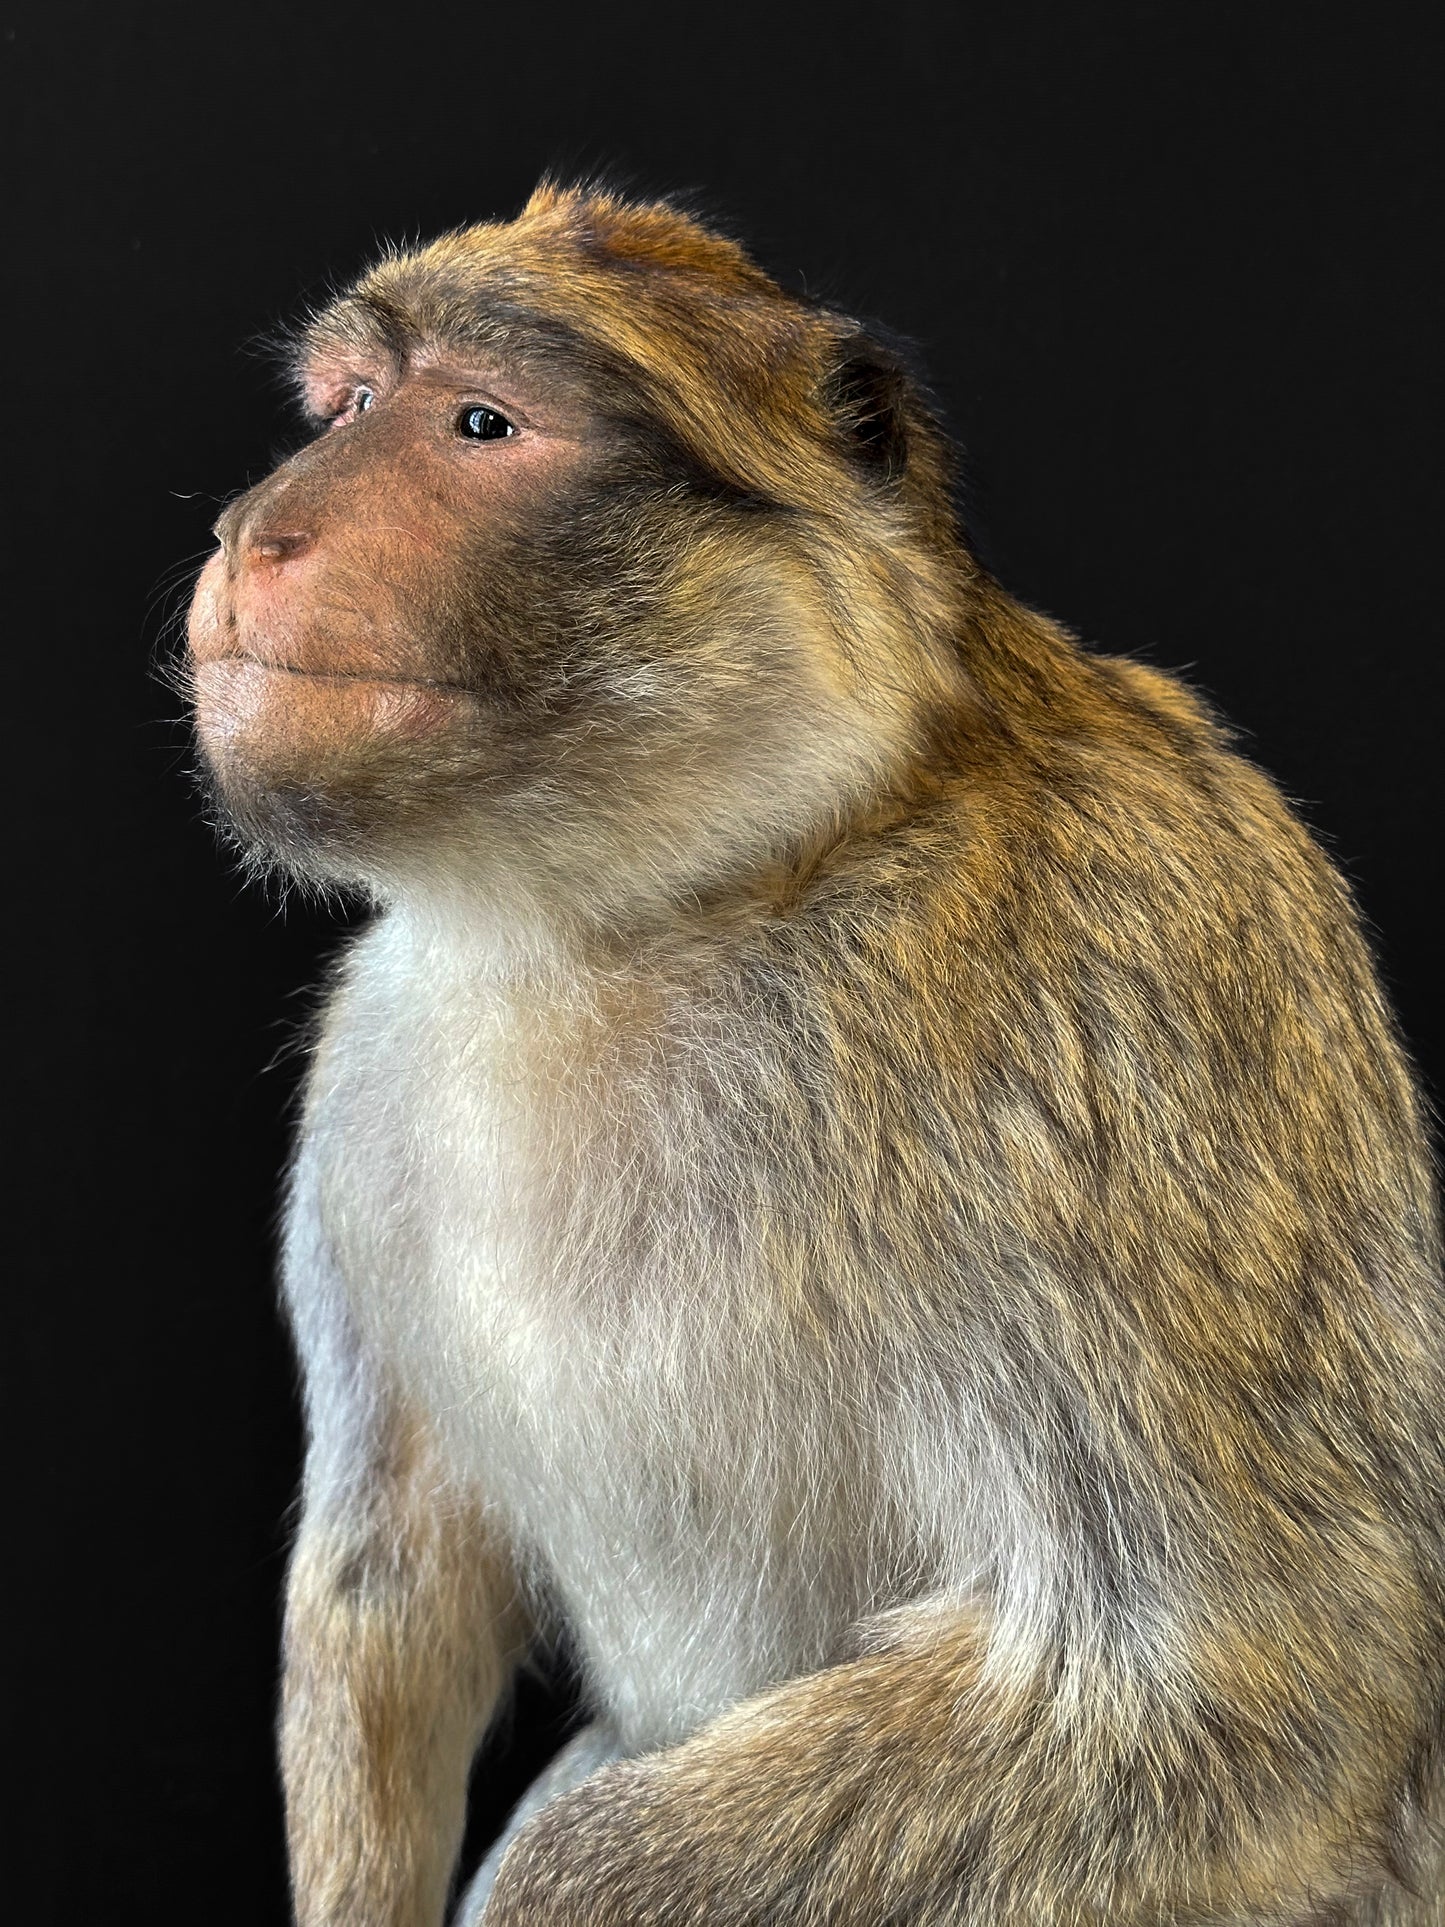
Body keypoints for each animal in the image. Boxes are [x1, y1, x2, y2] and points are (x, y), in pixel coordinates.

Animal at [185, 182, 1445, 1926]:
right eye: (350, 406)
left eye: (481, 423)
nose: (254, 530)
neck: (646, 912)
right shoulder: (372, 1065)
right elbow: (392, 1564)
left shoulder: (1092, 1012)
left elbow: (1242, 1673)